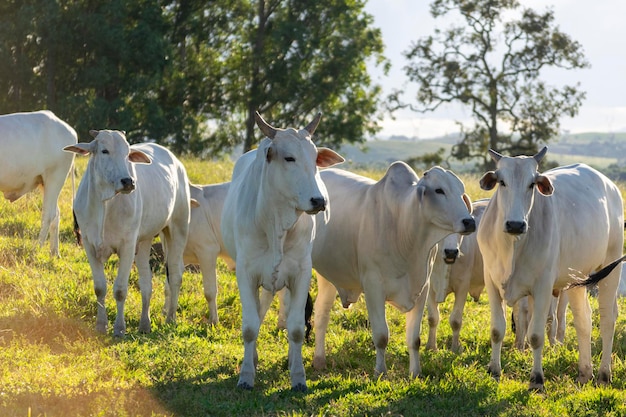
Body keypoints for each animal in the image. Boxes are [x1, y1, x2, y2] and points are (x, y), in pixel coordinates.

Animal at [0, 109, 77, 255]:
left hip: (55, 177)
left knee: (48, 214)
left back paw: (36, 249)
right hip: (44, 182)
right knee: (56, 213)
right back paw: (54, 252)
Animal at [65, 132, 190, 336]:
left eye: (127, 152)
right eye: (104, 150)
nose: (128, 182)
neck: (105, 204)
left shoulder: (127, 246)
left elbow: (120, 290)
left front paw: (119, 328)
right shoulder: (89, 245)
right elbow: (100, 288)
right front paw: (101, 325)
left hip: (178, 228)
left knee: (175, 273)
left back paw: (170, 318)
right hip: (145, 241)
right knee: (146, 283)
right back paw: (145, 324)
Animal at [310, 162, 476, 376]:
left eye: (460, 191)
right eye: (439, 190)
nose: (469, 222)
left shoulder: (422, 289)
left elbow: (414, 339)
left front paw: (415, 372)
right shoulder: (373, 287)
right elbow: (381, 336)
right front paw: (380, 372)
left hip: (329, 278)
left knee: (322, 313)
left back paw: (319, 360)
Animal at [424, 197, 488, 352]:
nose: (451, 252)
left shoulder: (463, 287)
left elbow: (455, 320)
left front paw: (454, 348)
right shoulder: (429, 288)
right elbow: (433, 318)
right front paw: (431, 346)